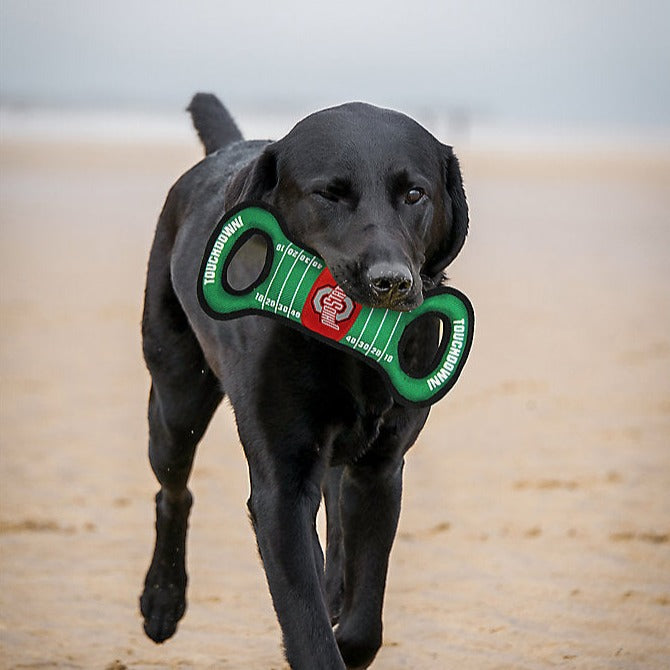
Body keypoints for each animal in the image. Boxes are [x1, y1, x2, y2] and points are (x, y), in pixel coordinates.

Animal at [140, 94, 470, 670]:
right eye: (327, 195)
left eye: (414, 194)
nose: (390, 282)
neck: (350, 352)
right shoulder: (282, 488)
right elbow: (308, 626)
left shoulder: (381, 470)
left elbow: (363, 623)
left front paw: (345, 621)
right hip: (176, 402)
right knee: (173, 491)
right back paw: (162, 599)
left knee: (334, 507)